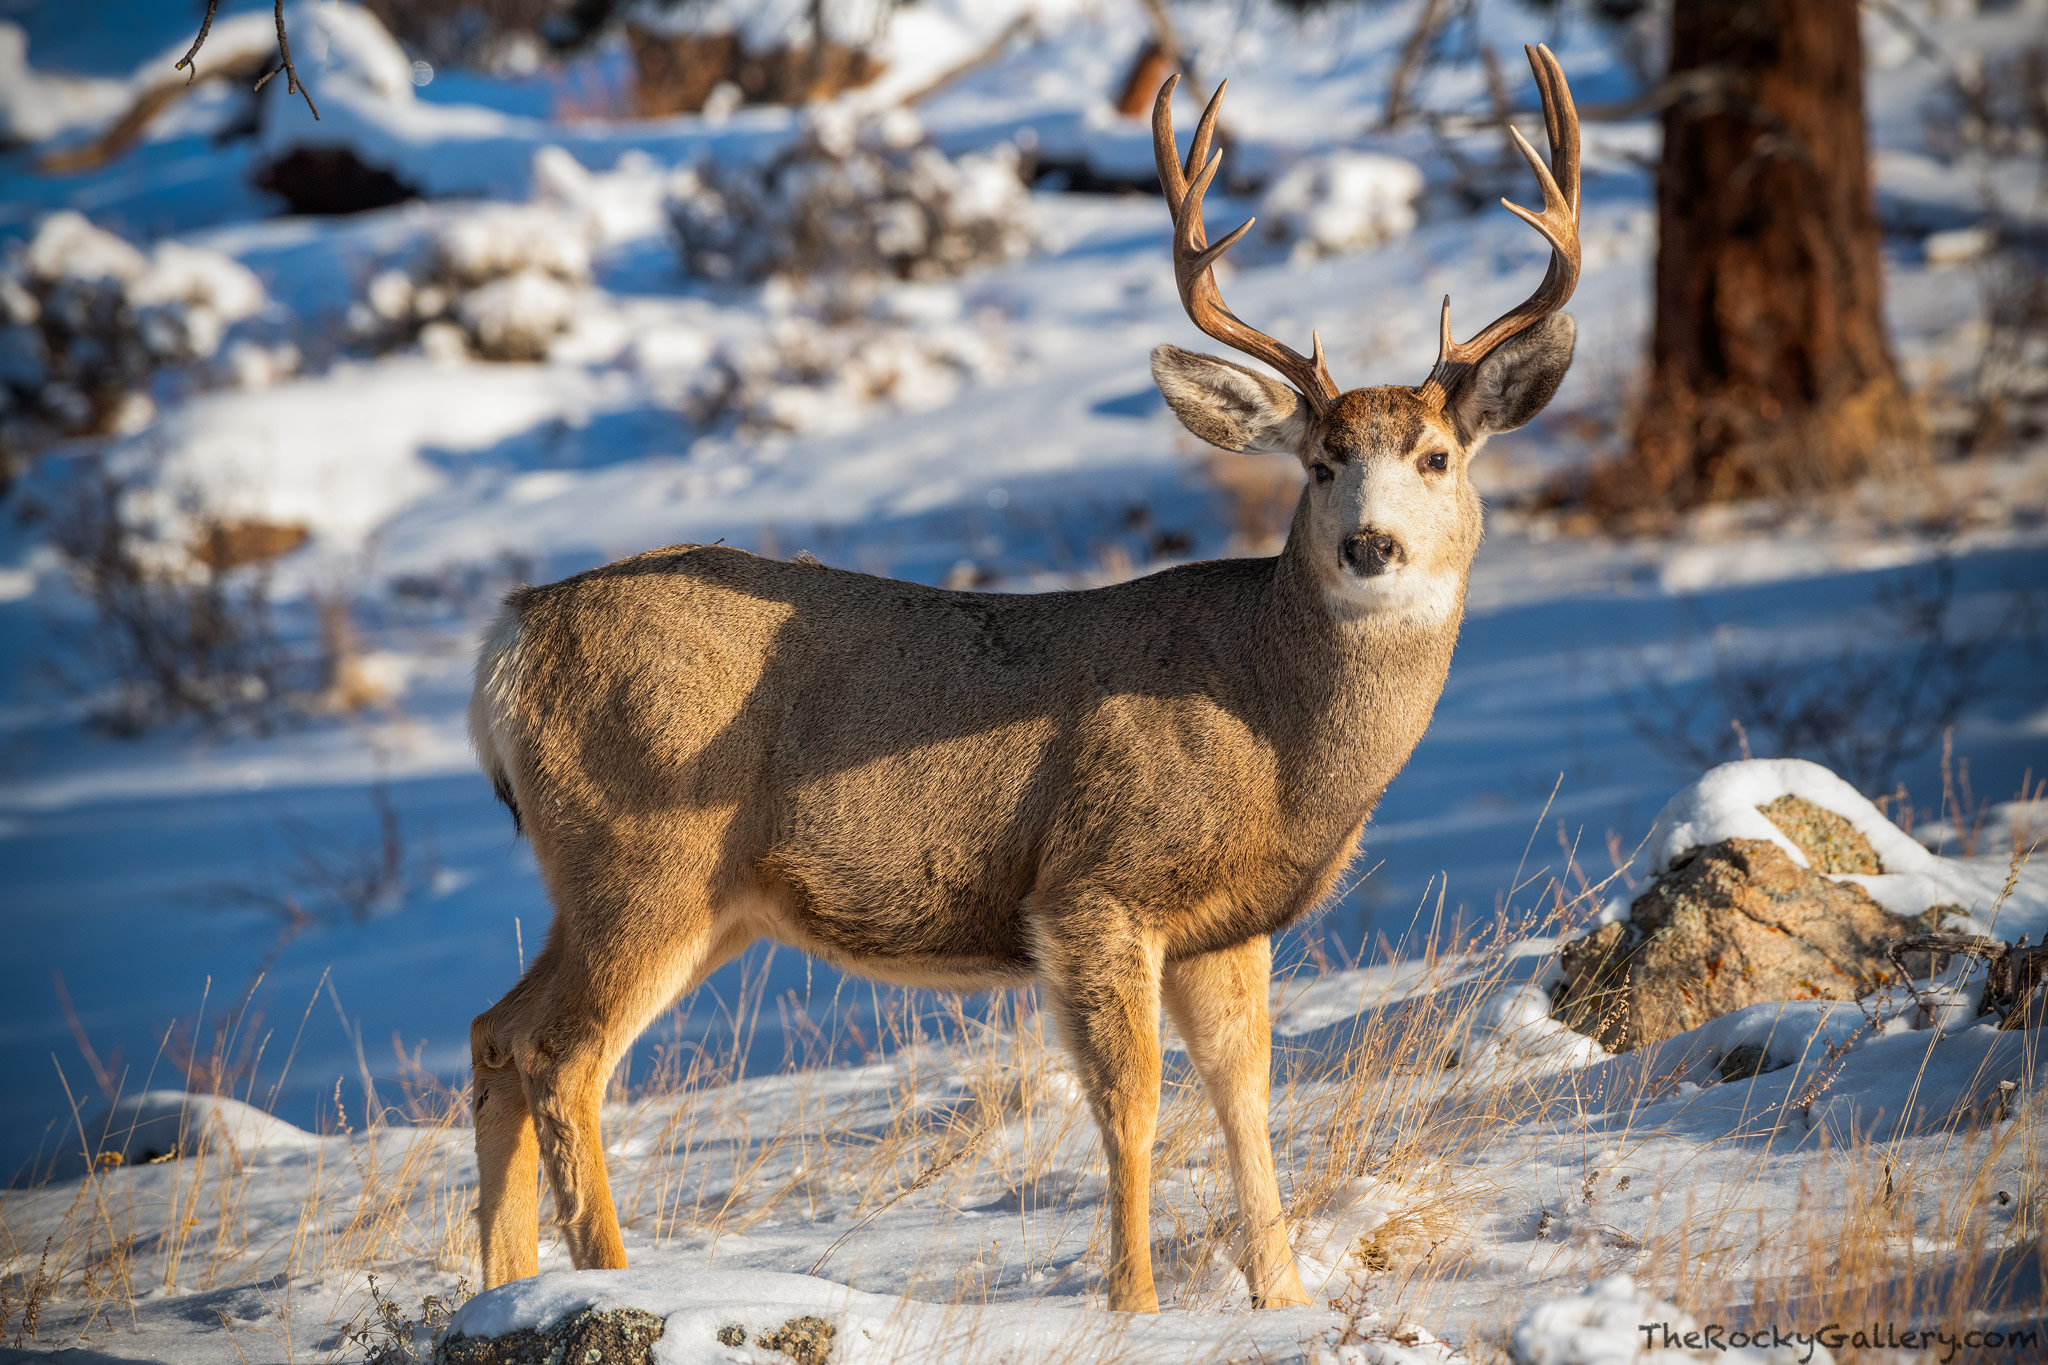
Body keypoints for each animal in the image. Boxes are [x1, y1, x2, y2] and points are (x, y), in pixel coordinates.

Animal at [468, 48, 1581, 1317]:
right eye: (1319, 463)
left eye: (1436, 457)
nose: (1369, 546)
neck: (1270, 728)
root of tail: (509, 636)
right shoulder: (1095, 883)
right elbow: (1131, 1103)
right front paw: (1133, 1305)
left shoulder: (1223, 924)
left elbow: (1245, 1099)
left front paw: (1282, 1300)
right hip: (643, 853)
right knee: (562, 1053)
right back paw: (612, 1281)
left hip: (666, 889)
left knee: (495, 1031)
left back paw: (500, 1289)